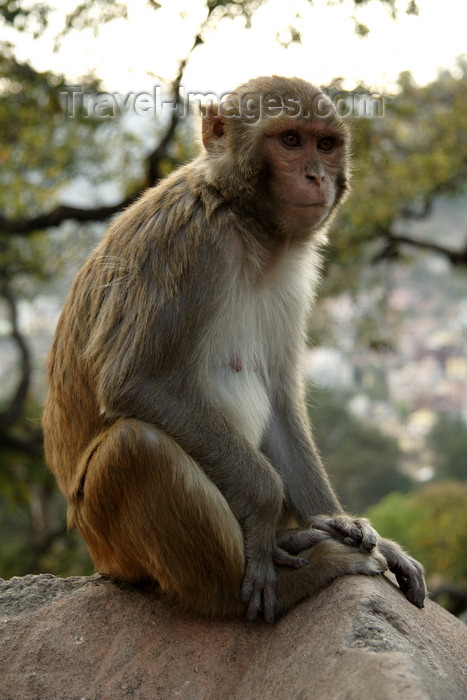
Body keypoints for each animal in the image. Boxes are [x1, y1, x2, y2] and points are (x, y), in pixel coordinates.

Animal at [44, 76, 428, 624]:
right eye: (290, 140)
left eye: (325, 144)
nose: (316, 175)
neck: (247, 224)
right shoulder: (187, 243)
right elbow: (137, 381)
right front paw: (267, 509)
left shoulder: (292, 275)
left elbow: (280, 398)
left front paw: (342, 521)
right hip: (109, 538)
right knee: (139, 446)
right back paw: (274, 580)